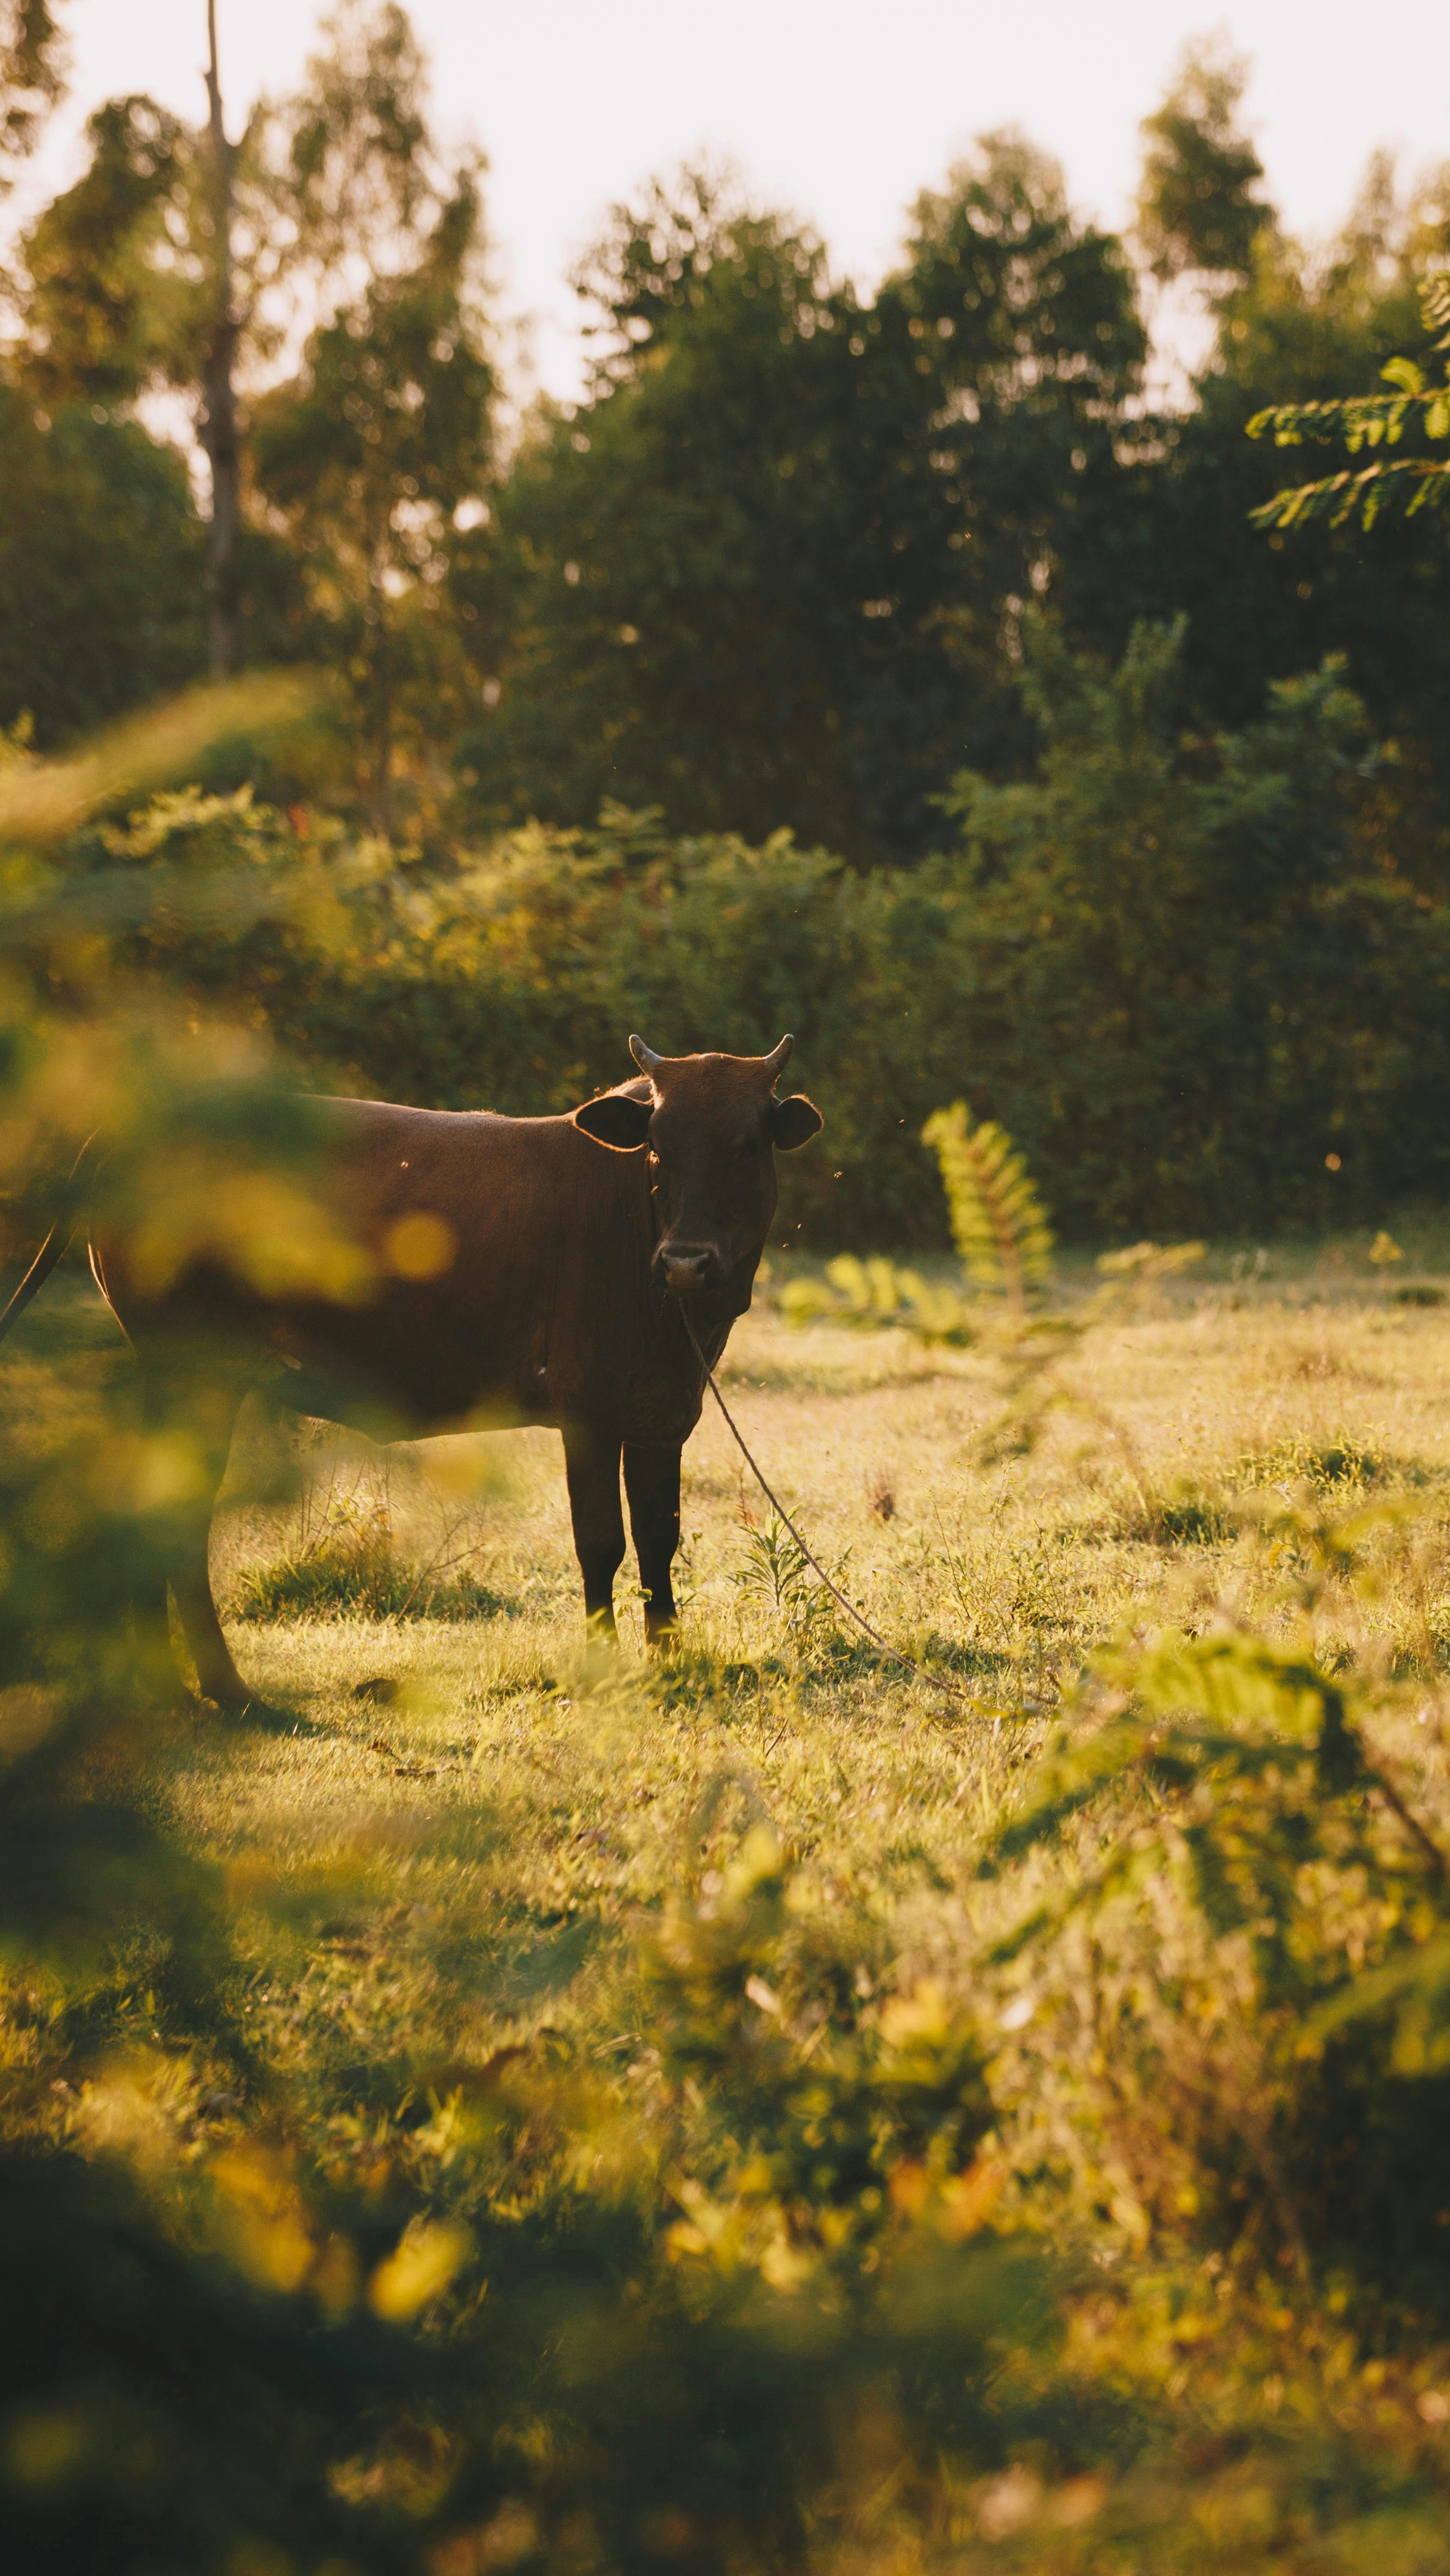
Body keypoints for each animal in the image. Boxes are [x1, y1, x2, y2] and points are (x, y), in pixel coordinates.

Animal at [0, 1035, 822, 1708]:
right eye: (656, 1147)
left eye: (746, 1144)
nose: (685, 1263)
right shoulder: (585, 1409)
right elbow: (601, 1541)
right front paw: (604, 1666)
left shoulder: (664, 1411)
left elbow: (657, 1536)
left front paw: (668, 1660)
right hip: (192, 1366)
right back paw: (221, 1687)